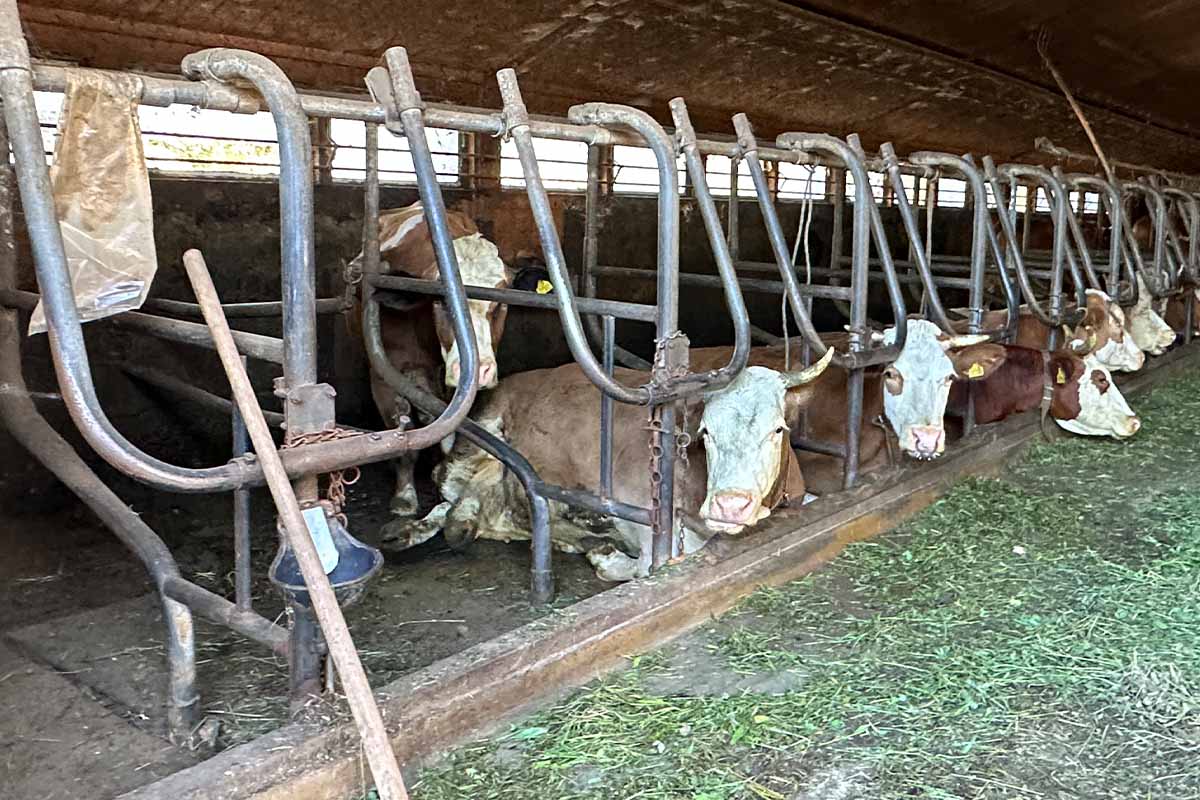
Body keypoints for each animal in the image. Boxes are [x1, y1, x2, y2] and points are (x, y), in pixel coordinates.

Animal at [350, 203, 513, 522]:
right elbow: (402, 434)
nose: (481, 370)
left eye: (499, 303)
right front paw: (404, 497)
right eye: (441, 301)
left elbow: (449, 430)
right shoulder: (385, 372)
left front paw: (443, 478)